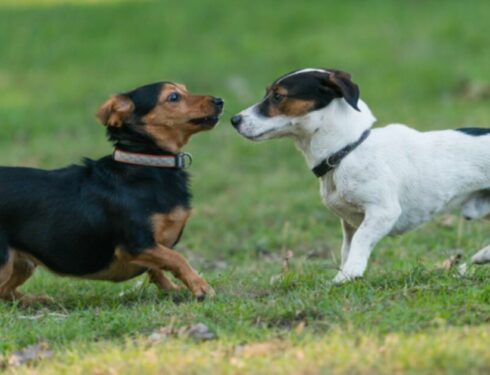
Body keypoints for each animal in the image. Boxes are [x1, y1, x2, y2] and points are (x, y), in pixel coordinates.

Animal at [0, 81, 224, 302]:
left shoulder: (151, 247)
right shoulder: (136, 244)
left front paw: (173, 289)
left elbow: (157, 268)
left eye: (185, 89)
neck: (147, 163)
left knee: (6, 292)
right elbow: (177, 258)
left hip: (23, 264)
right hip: (5, 261)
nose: (220, 101)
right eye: (173, 97)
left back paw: (35, 300)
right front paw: (201, 287)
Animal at [232, 69, 490, 284]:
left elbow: (360, 243)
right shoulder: (350, 222)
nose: (234, 120)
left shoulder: (383, 212)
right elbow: (347, 249)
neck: (346, 151)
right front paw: (346, 271)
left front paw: (348, 275)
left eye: (278, 96)